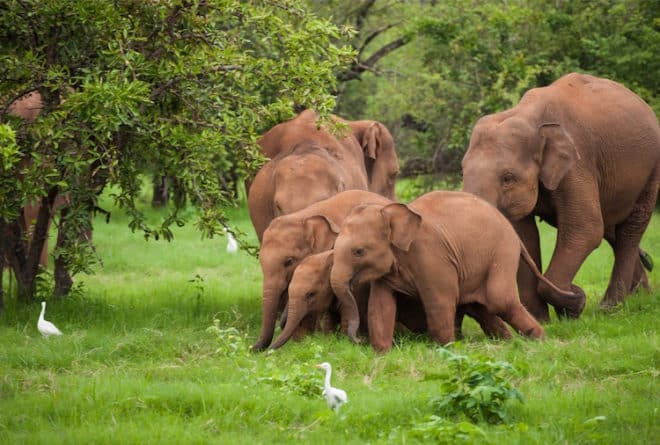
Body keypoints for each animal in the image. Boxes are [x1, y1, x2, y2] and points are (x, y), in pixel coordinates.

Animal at [330, 191, 576, 350]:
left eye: (359, 251)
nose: (357, 341)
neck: (392, 213)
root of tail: (512, 230)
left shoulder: (431, 256)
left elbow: (439, 300)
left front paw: (447, 349)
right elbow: (380, 306)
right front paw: (382, 353)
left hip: (503, 252)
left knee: (499, 300)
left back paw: (540, 341)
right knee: (478, 305)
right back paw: (507, 342)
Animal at [458, 73, 660, 318]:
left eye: (508, 178)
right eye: (462, 171)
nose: (576, 290)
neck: (527, 115)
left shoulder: (577, 164)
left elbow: (585, 228)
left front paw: (575, 304)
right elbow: (524, 236)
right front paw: (543, 319)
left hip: (652, 168)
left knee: (630, 229)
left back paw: (610, 308)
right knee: (612, 231)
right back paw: (642, 298)